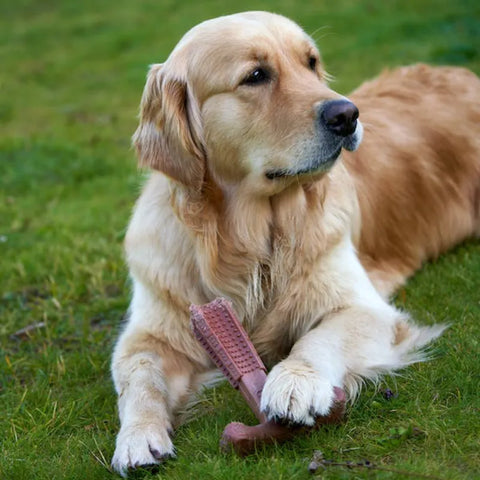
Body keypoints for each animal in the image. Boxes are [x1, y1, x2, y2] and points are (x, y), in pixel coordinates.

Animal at [110, 11, 480, 476]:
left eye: (311, 62)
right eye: (255, 76)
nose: (347, 114)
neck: (250, 237)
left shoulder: (365, 308)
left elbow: (319, 338)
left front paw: (294, 381)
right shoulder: (151, 328)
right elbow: (139, 375)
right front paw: (137, 437)